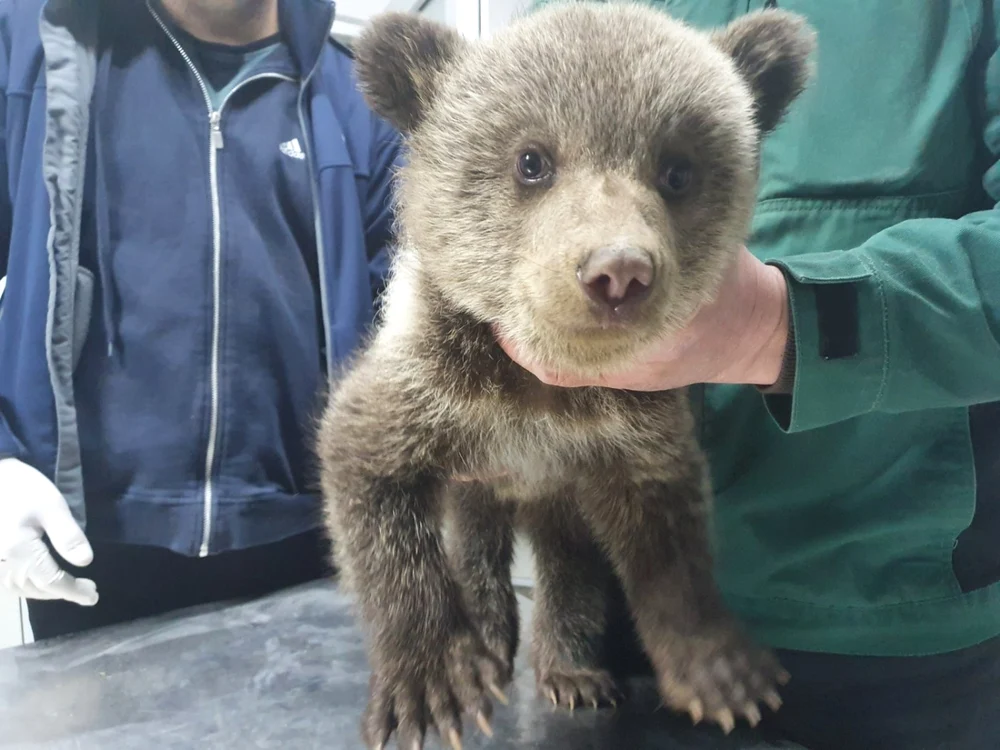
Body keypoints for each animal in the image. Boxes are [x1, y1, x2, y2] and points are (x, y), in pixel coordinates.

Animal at [317, 2, 815, 748]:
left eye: (677, 170)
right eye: (532, 160)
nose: (618, 271)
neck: (547, 390)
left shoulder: (630, 433)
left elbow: (669, 545)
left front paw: (724, 672)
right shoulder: (434, 389)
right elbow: (370, 483)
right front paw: (431, 680)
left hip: (559, 497)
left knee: (568, 561)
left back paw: (573, 670)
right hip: (482, 480)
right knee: (479, 541)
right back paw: (490, 636)